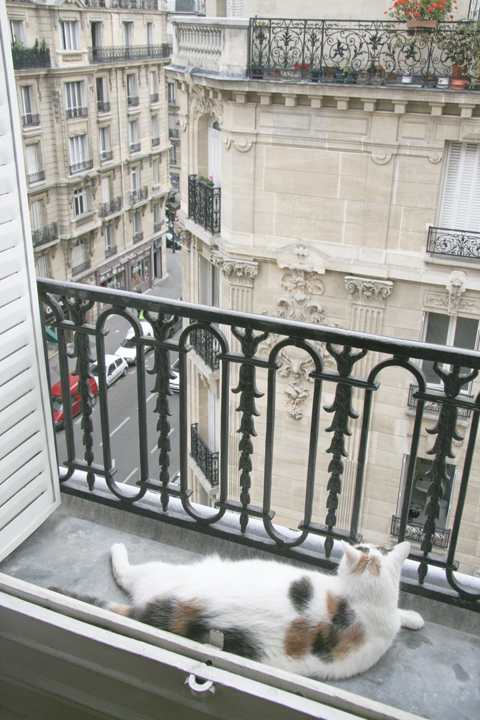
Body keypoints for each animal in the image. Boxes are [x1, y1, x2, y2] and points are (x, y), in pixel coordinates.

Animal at [53, 540, 424, 681]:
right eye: (365, 546)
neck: (362, 603)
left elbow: (398, 614)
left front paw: (412, 618)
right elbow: (397, 612)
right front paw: (414, 617)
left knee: (126, 576)